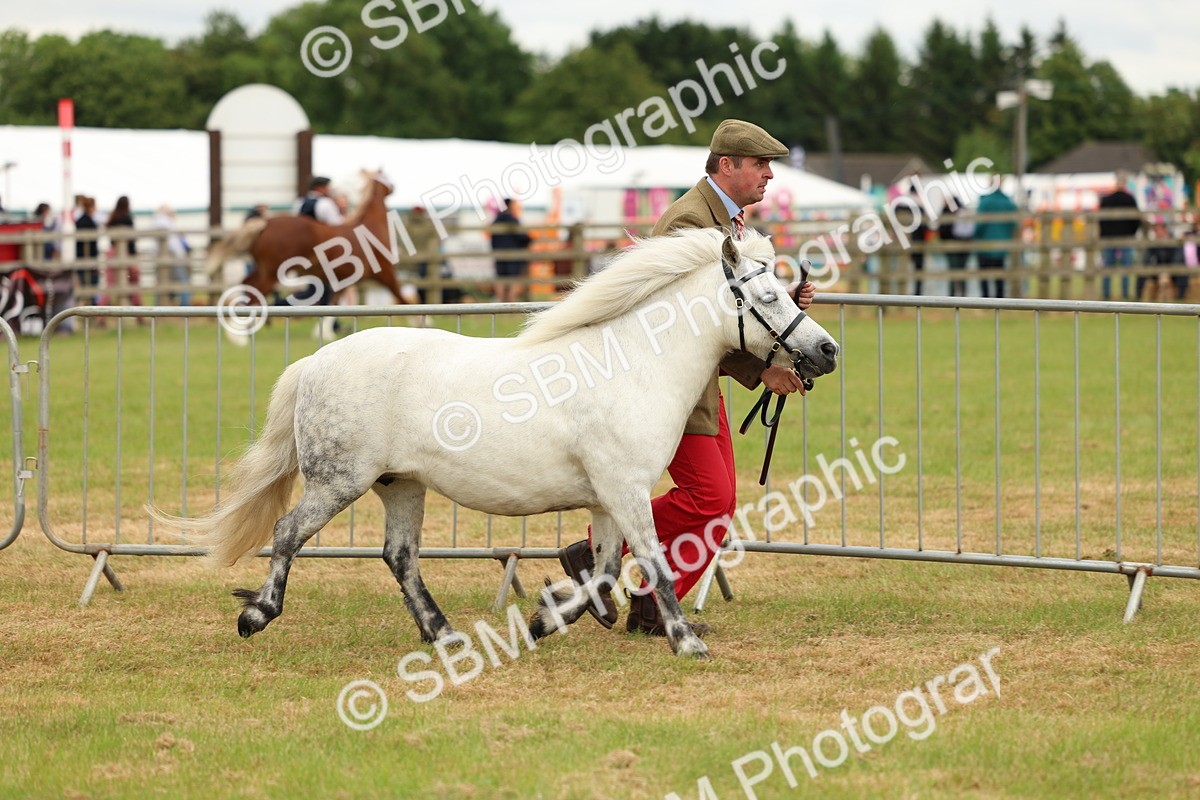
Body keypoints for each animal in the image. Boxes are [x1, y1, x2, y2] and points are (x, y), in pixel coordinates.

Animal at [152, 227, 840, 660]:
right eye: (768, 295)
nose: (827, 351)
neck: (632, 365)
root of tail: (315, 362)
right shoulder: (624, 490)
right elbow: (654, 564)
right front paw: (686, 642)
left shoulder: (605, 498)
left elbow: (604, 572)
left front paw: (544, 618)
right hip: (338, 481)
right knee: (289, 532)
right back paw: (256, 614)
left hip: (400, 486)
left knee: (399, 557)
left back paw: (445, 635)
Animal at [205, 171, 419, 313]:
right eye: (384, 175)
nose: (393, 186)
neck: (370, 226)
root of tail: (264, 223)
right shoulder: (386, 272)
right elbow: (403, 300)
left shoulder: (345, 279)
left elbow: (333, 306)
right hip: (272, 273)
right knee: (255, 295)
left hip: (263, 270)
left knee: (247, 285)